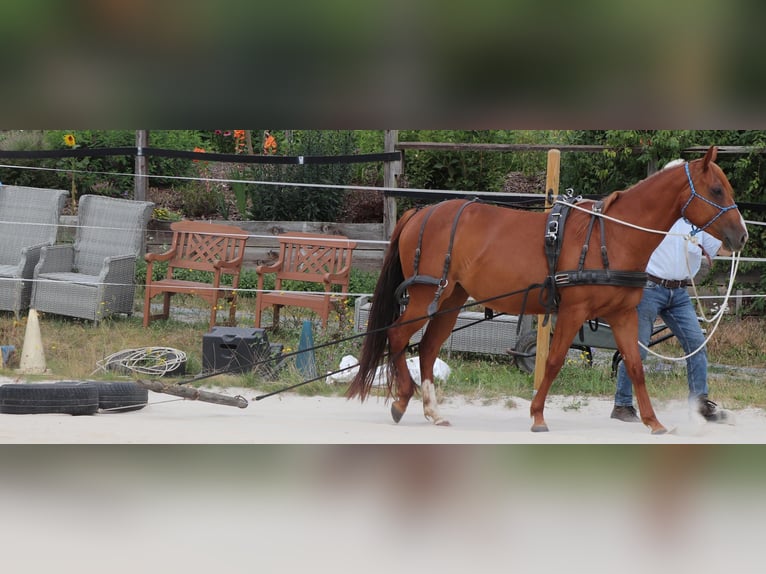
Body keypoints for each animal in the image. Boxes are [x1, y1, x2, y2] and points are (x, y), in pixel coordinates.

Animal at [346, 146, 748, 435]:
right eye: (716, 189)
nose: (741, 236)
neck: (612, 235)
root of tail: (420, 212)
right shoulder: (572, 311)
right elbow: (554, 361)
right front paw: (538, 415)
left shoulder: (623, 315)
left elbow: (634, 365)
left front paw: (653, 422)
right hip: (425, 296)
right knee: (398, 337)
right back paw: (403, 398)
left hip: (451, 298)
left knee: (428, 348)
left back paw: (432, 410)